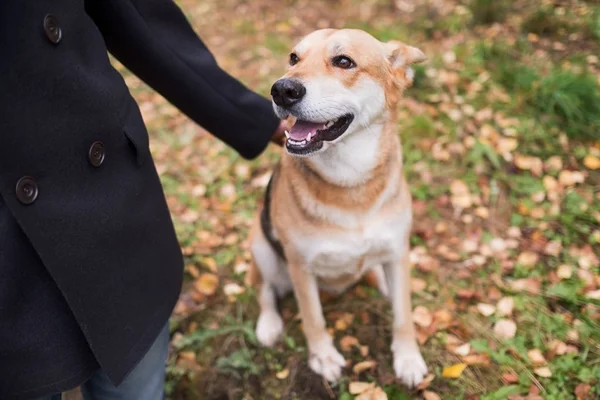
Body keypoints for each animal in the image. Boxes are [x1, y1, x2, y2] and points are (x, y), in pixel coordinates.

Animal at [246, 28, 428, 388]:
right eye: (293, 58)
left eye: (344, 62)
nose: (282, 90)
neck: (351, 182)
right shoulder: (301, 266)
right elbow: (313, 318)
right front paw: (323, 358)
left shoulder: (398, 250)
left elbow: (403, 315)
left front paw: (408, 358)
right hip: (260, 245)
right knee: (265, 290)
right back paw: (269, 324)